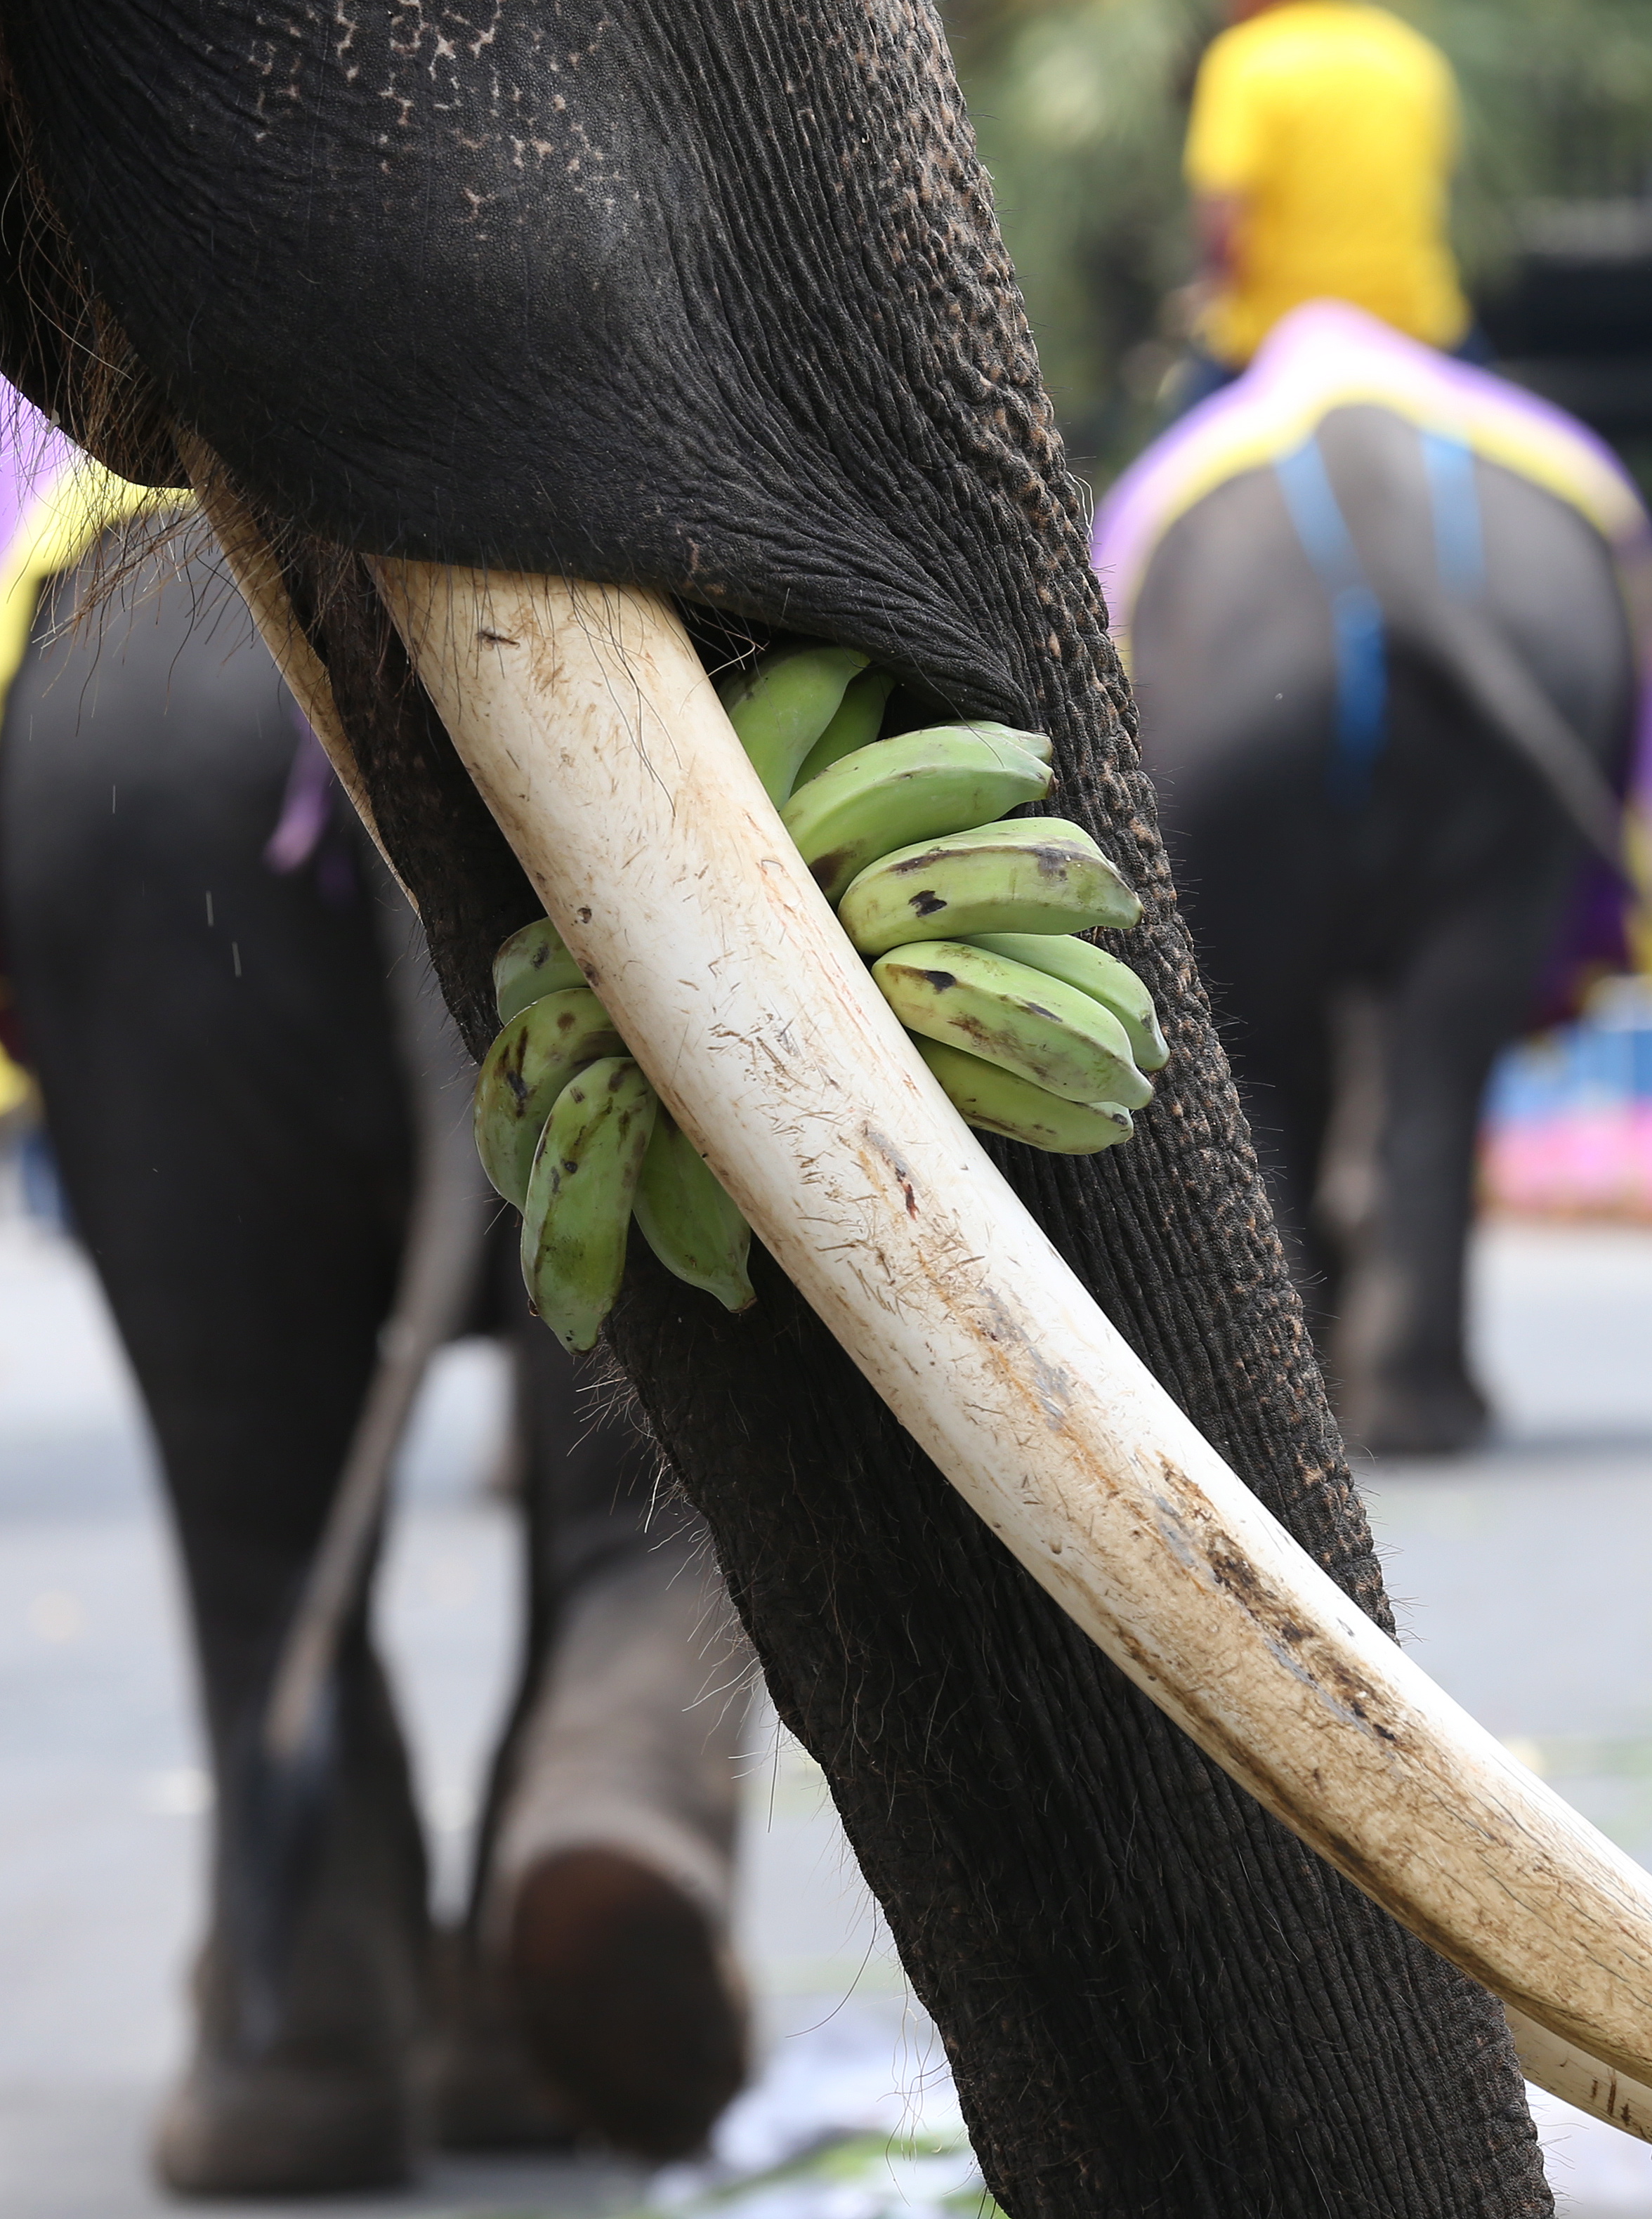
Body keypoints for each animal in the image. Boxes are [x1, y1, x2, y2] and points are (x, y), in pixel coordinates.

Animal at [1091, 317, 1641, 1455]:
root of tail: (1389, 532)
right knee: (1438, 1038)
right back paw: (1414, 1415)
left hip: (1244, 740)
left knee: (1303, 1053)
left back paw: (1391, 1411)